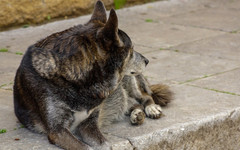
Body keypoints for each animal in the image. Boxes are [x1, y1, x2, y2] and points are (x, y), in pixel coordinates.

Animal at [13, 0, 150, 149]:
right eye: (131, 50)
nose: (147, 61)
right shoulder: (58, 131)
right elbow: (85, 147)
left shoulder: (89, 125)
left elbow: (105, 144)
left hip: (129, 80)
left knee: (142, 97)